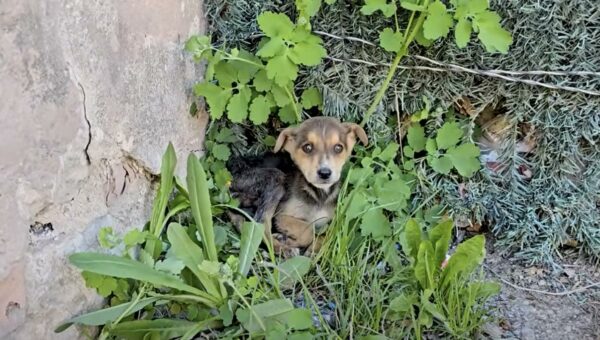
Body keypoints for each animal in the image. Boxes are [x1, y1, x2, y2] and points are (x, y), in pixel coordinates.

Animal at [225, 117, 366, 255]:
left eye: (338, 148)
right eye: (307, 147)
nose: (325, 173)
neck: (318, 194)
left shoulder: (332, 223)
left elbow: (325, 238)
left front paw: (313, 249)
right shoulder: (281, 216)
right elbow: (309, 229)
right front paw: (290, 241)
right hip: (273, 178)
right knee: (261, 225)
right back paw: (282, 248)